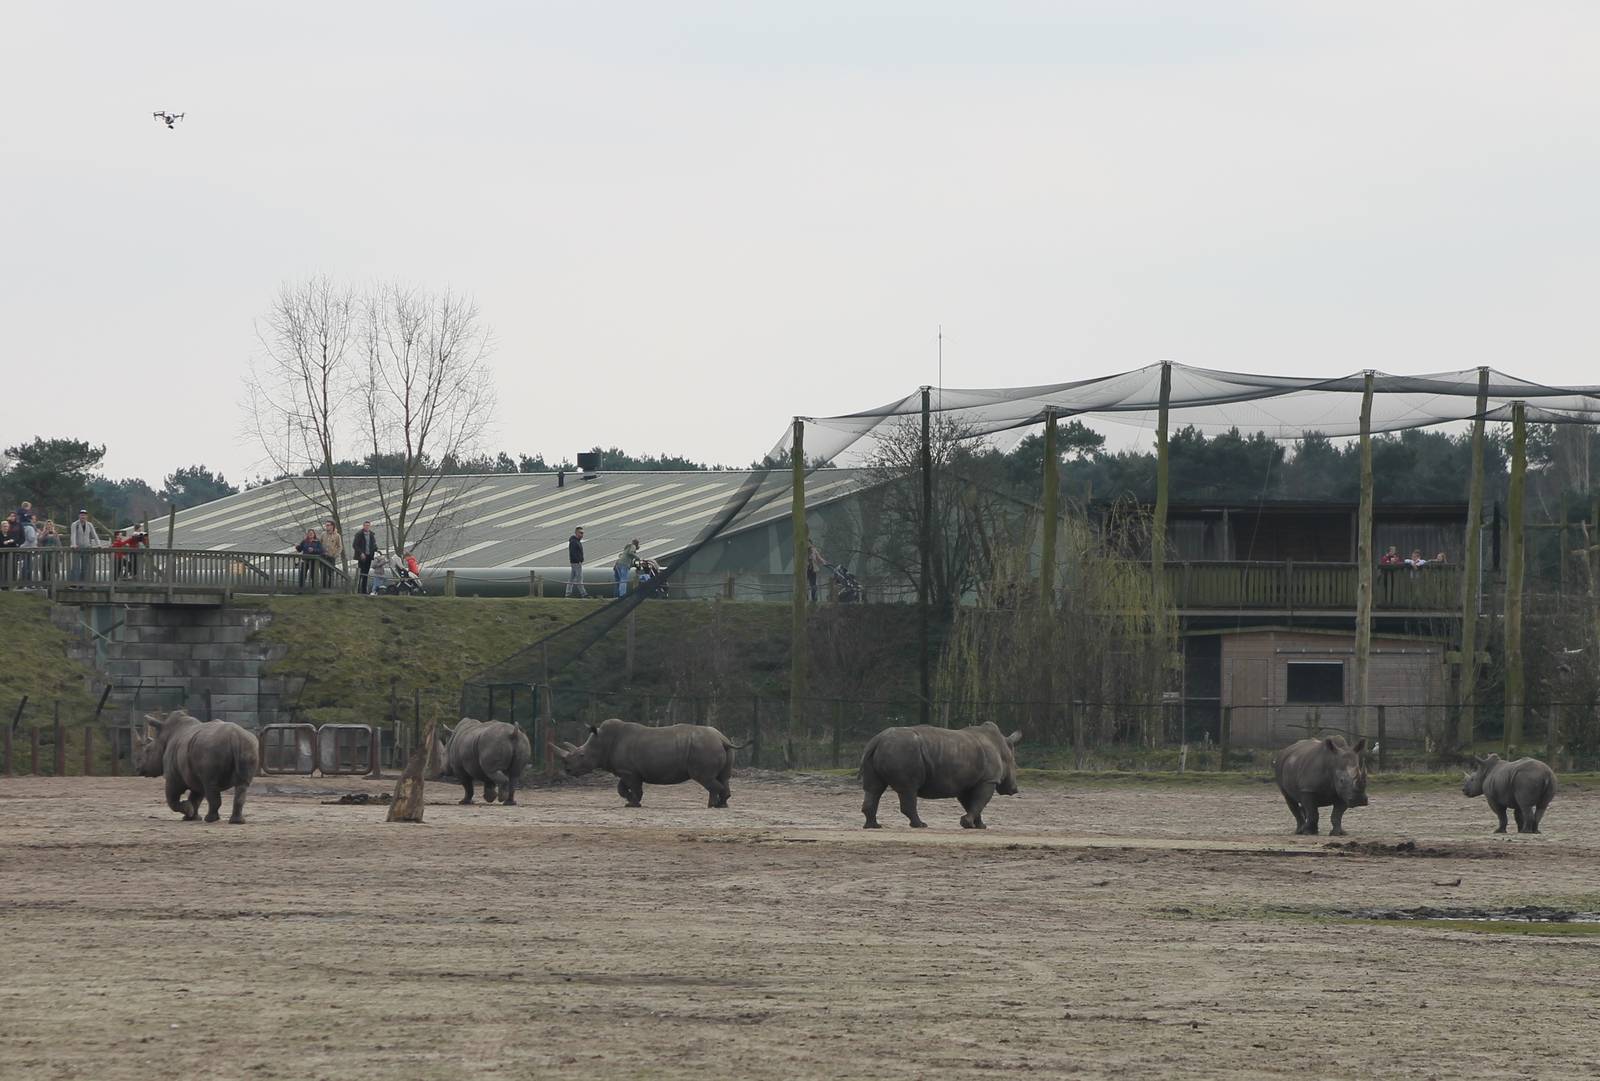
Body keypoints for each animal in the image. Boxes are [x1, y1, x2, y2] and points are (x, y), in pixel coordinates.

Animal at [554, 718, 741, 808]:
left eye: (581, 755)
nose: (567, 769)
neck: (602, 742)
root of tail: (722, 739)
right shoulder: (626, 770)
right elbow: (621, 788)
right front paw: (630, 802)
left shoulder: (629, 772)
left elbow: (634, 788)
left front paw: (633, 804)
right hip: (717, 746)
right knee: (723, 778)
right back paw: (722, 805)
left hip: (704, 748)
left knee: (705, 778)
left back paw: (711, 806)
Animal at [860, 722, 1022, 830]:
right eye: (1014, 766)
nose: (1014, 789)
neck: (1002, 748)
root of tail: (878, 740)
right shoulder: (988, 780)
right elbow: (980, 802)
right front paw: (969, 824)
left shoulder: (966, 783)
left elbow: (972, 803)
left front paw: (979, 825)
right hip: (903, 751)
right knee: (908, 789)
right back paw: (921, 825)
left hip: (884, 750)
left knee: (874, 789)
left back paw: (873, 826)